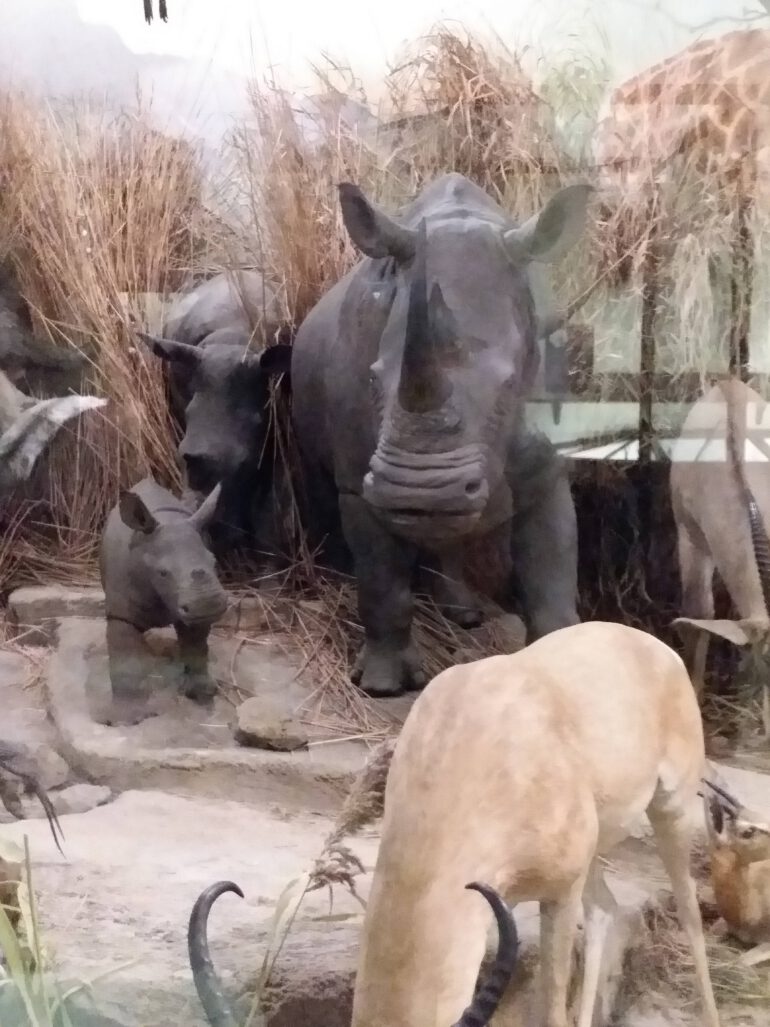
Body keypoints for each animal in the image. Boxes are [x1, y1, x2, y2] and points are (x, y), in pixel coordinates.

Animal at [99, 476, 228, 726]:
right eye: (162, 573)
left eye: (214, 562)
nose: (209, 603)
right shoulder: (121, 612)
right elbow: (126, 659)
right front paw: (127, 720)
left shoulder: (192, 609)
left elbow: (197, 646)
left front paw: (201, 693)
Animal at [290, 172, 592, 696]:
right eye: (372, 380)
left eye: (510, 386)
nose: (418, 490)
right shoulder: (361, 481)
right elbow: (382, 578)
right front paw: (383, 685)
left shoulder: (547, 467)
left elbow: (551, 572)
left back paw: (464, 614)